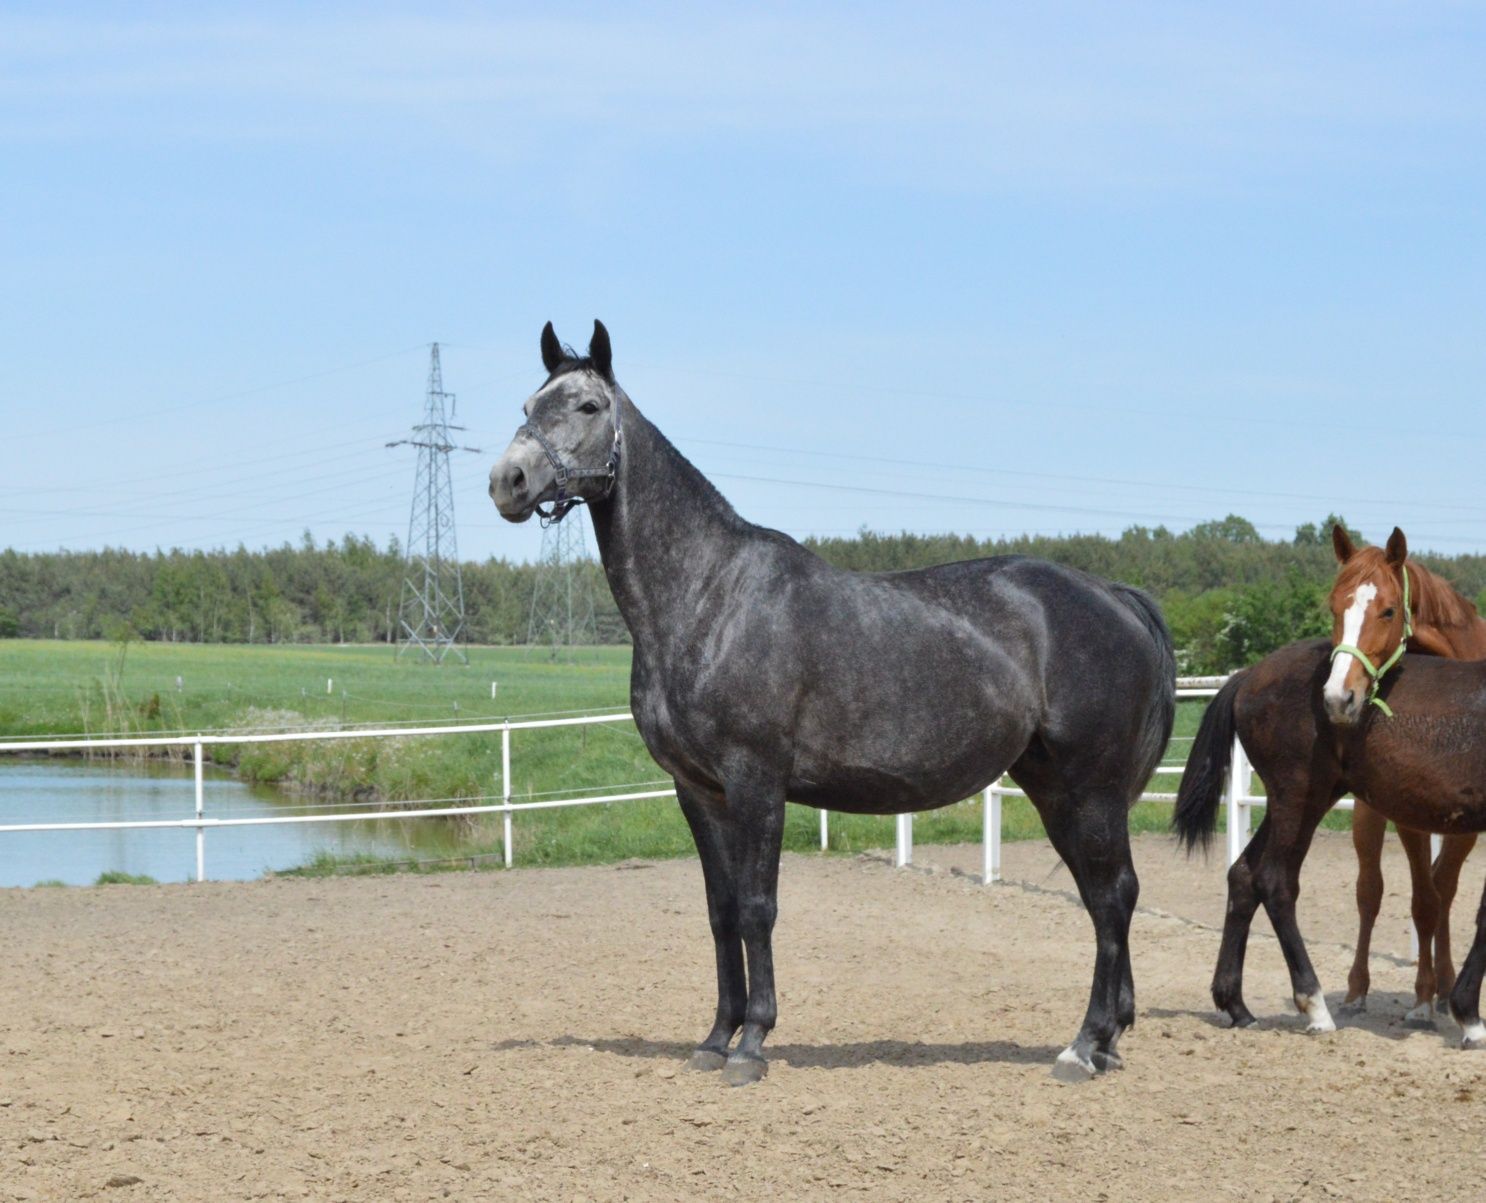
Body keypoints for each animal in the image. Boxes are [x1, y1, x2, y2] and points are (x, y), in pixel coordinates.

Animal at [493, 319, 1176, 1075]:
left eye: (587, 406)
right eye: (529, 404)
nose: (507, 481)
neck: (708, 596)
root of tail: (1113, 595)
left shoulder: (757, 779)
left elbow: (757, 906)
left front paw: (752, 1044)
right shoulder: (697, 790)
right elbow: (720, 911)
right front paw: (715, 1038)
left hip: (1092, 786)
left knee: (1114, 895)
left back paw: (1084, 1045)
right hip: (1054, 786)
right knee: (1100, 898)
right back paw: (1106, 1040)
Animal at [1325, 519, 1486, 1015]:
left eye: (1389, 610)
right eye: (1333, 606)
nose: (1338, 698)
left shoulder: (1465, 824)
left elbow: (1439, 893)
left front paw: (1439, 991)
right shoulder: (1409, 815)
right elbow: (1422, 901)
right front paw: (1423, 995)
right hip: (1370, 812)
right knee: (1371, 890)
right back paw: (1360, 989)